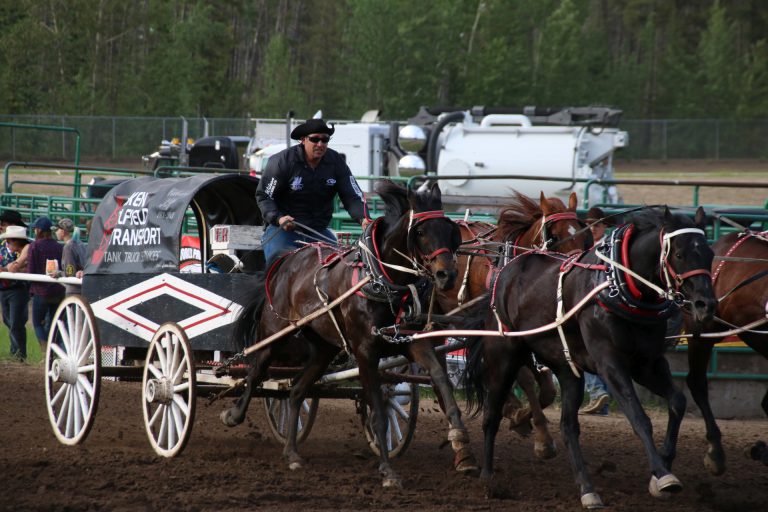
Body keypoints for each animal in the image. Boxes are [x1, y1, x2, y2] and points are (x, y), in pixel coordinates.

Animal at [219, 181, 476, 488]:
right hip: (275, 333)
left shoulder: (413, 343)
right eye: (421, 232)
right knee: (256, 371)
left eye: (450, 231)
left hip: (323, 349)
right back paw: (233, 415)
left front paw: (460, 437)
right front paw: (388, 471)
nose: (447, 276)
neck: (382, 281)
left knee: (295, 392)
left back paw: (292, 453)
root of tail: (286, 261)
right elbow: (379, 414)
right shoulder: (366, 353)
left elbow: (440, 379)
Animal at [436, 189, 592, 460]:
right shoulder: (504, 332)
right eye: (554, 236)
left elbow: (547, 390)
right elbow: (526, 379)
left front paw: (521, 416)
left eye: (583, 235)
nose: (573, 270)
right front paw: (537, 433)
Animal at [462, 207, 720, 508]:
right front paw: (663, 475)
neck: (617, 284)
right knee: (491, 415)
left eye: (710, 253)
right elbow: (638, 417)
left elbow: (677, 401)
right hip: (503, 357)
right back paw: (488, 478)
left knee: (568, 427)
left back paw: (587, 489)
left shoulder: (647, 364)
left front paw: (662, 467)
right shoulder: (610, 363)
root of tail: (506, 270)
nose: (706, 305)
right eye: (679, 254)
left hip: (567, 370)